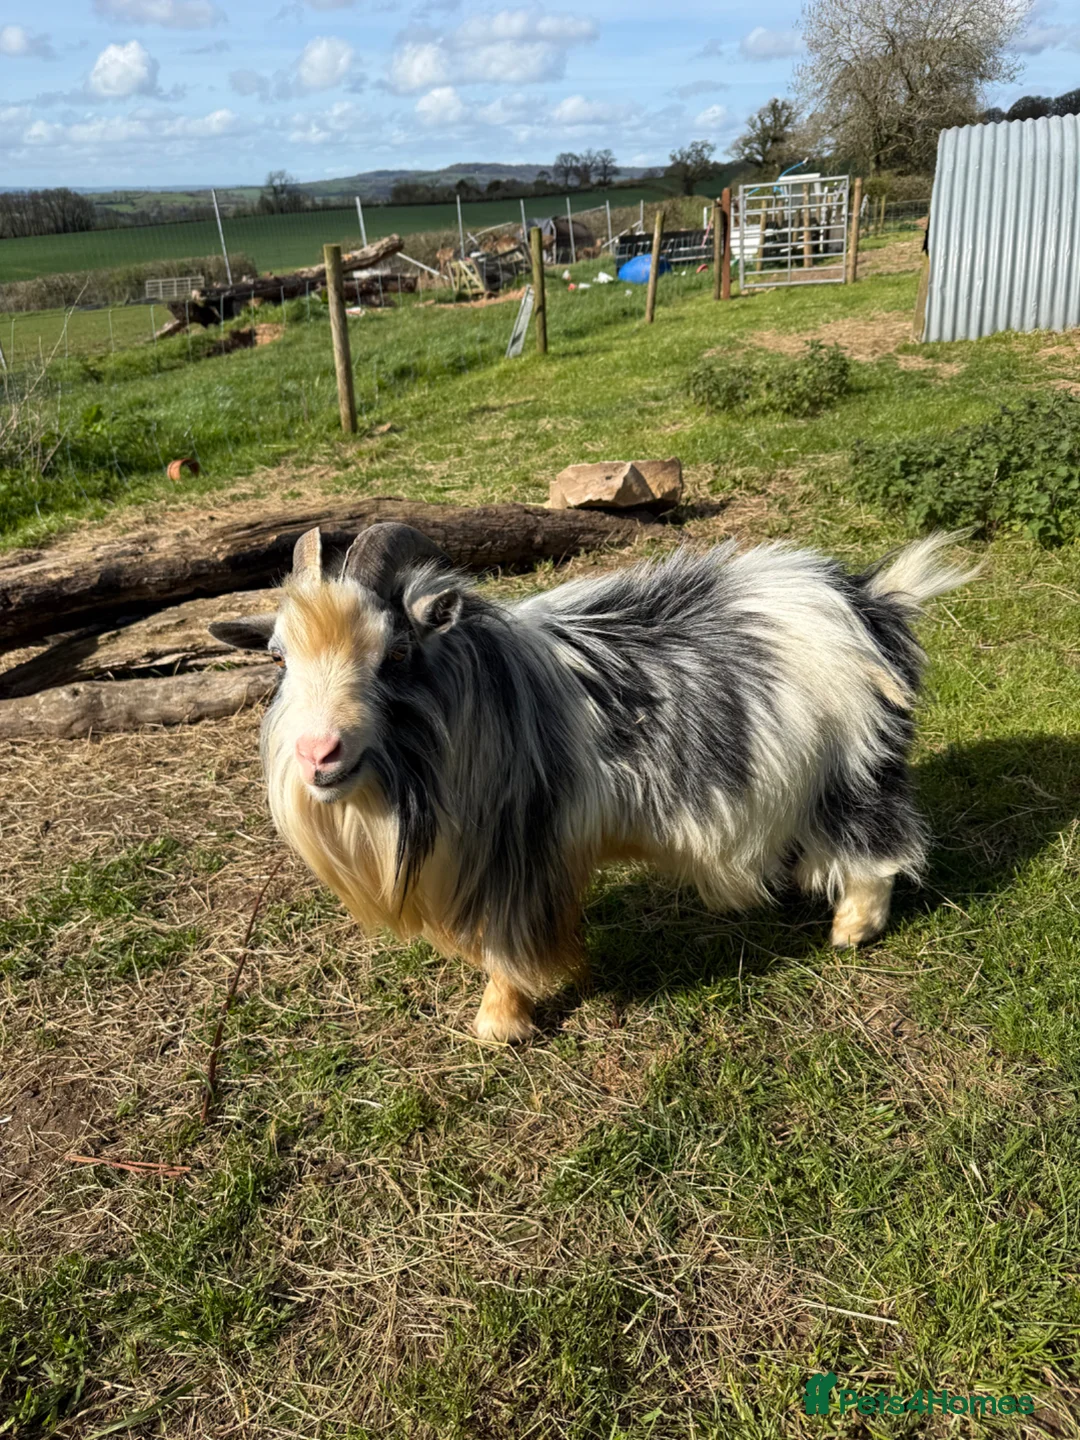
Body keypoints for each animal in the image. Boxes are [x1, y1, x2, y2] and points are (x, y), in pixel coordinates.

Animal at [210, 524, 974, 1042]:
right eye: (277, 657)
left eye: (394, 653)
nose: (319, 752)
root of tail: (871, 603)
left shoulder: (514, 852)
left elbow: (505, 946)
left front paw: (500, 1024)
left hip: (856, 767)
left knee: (880, 845)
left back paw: (852, 929)